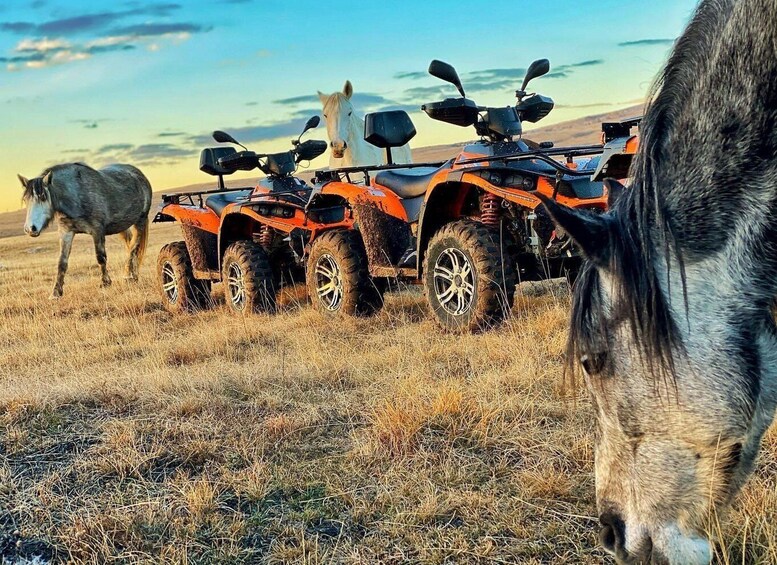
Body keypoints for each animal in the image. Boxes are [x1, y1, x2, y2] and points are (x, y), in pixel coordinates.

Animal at [18, 163, 152, 298]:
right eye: (25, 200)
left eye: (43, 197)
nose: (30, 228)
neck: (76, 196)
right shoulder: (66, 232)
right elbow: (62, 262)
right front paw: (56, 292)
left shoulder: (97, 231)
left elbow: (100, 257)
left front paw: (105, 283)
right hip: (123, 227)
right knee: (130, 246)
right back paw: (133, 275)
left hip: (140, 221)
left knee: (133, 248)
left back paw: (129, 277)